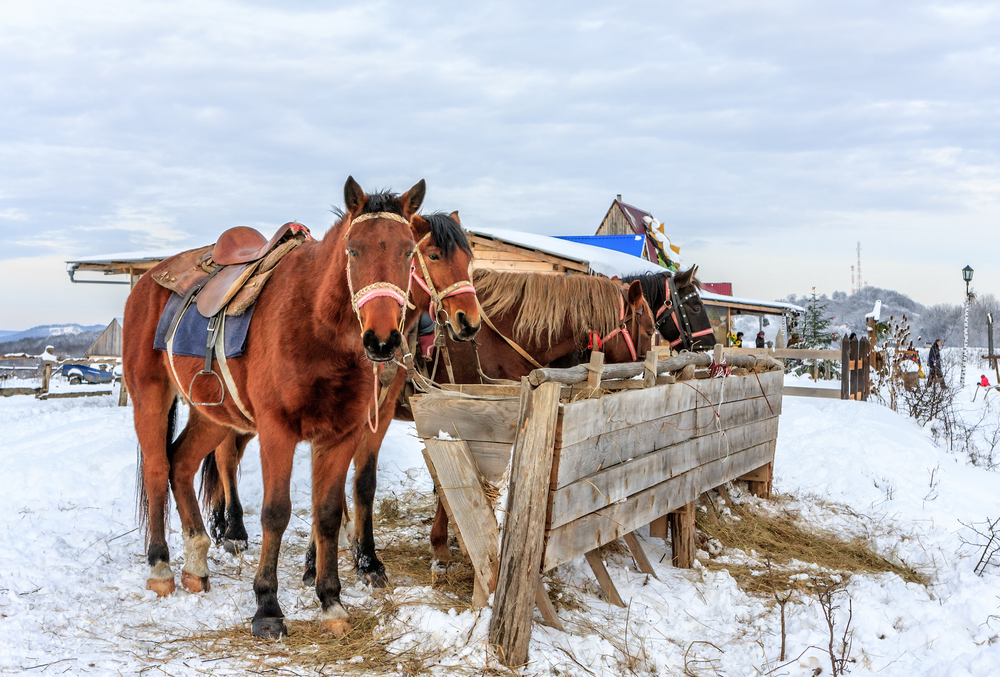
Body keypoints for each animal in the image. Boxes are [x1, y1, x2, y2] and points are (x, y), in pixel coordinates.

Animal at [123, 176, 424, 640]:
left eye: (409, 251)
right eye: (354, 250)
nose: (382, 340)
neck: (315, 325)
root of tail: (148, 280)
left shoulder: (342, 435)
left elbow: (328, 514)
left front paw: (331, 600)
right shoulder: (277, 431)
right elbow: (276, 513)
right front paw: (267, 606)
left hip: (213, 414)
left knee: (181, 464)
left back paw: (196, 562)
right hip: (150, 398)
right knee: (158, 468)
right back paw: (160, 566)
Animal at [193, 210, 478, 564]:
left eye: (468, 259)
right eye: (434, 255)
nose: (469, 322)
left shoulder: (375, 414)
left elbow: (361, 483)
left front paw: (361, 556)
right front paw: (324, 554)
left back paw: (221, 524)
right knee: (226, 456)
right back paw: (233, 531)